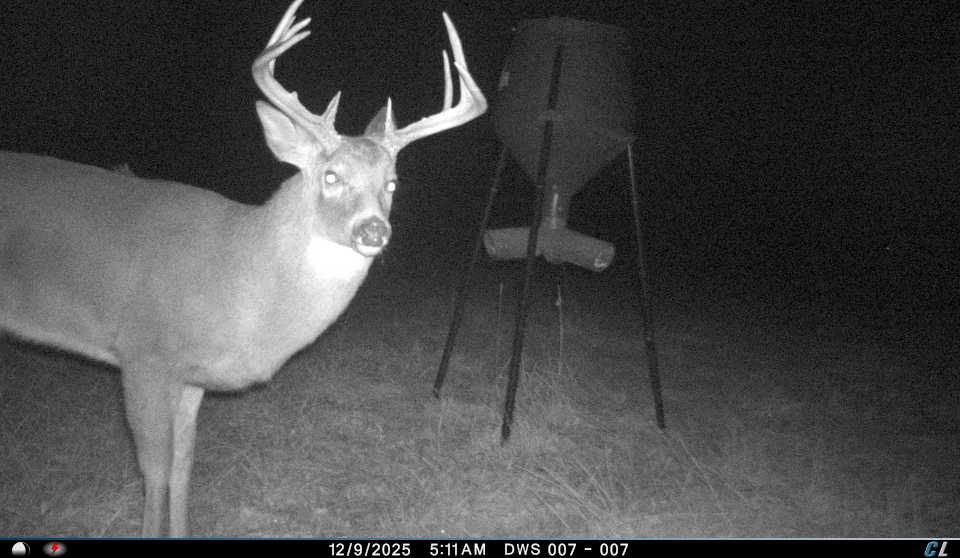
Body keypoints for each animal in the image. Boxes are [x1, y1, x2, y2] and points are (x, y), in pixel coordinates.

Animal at [0, 0, 486, 537]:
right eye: (331, 176)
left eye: (393, 183)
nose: (374, 231)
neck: (235, 273)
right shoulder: (143, 353)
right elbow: (154, 469)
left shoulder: (191, 376)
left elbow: (183, 466)